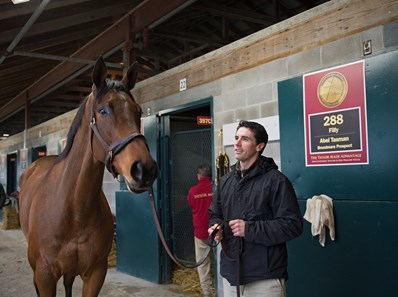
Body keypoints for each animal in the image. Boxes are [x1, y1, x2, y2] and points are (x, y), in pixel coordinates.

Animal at [18, 56, 158, 294]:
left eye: (138, 110)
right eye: (103, 111)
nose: (144, 169)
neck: (74, 210)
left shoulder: (96, 273)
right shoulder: (45, 276)